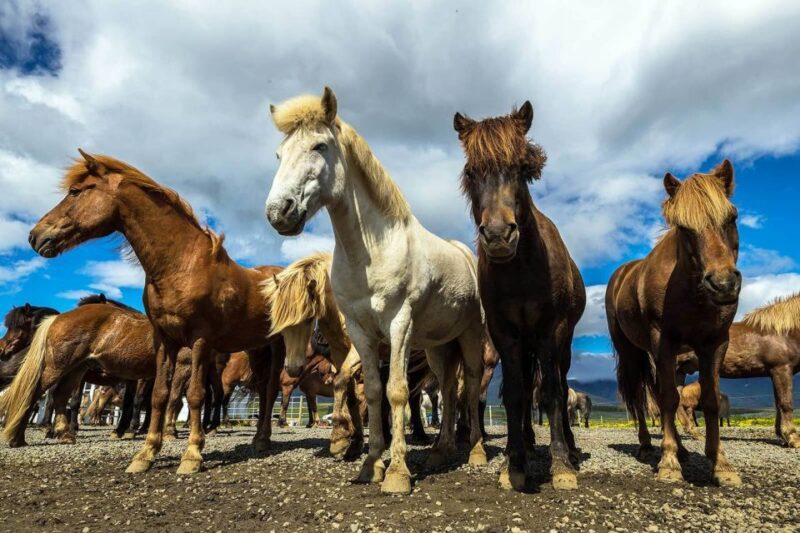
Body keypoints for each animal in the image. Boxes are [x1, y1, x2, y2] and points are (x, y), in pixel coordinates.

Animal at [29, 151, 285, 474]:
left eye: (75, 192)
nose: (35, 235)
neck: (180, 265)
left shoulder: (200, 341)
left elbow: (195, 395)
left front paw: (192, 455)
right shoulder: (165, 341)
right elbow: (159, 396)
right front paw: (145, 454)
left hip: (276, 348)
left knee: (271, 389)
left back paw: (263, 439)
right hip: (256, 348)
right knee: (263, 391)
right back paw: (258, 439)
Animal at [266, 89, 487, 494]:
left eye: (320, 146)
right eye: (279, 153)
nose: (279, 212)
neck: (371, 251)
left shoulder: (399, 325)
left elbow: (395, 392)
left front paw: (397, 472)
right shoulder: (360, 332)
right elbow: (369, 393)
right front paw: (370, 464)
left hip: (470, 336)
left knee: (471, 383)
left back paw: (476, 451)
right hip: (437, 346)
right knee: (449, 388)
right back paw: (440, 451)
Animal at [453, 101, 585, 490]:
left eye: (522, 169)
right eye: (472, 172)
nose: (498, 235)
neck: (522, 270)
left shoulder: (551, 330)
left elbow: (553, 393)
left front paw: (561, 464)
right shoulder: (505, 334)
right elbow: (515, 395)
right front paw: (514, 463)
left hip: (560, 343)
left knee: (560, 383)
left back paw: (570, 446)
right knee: (527, 390)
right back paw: (525, 441)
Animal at [607, 159, 742, 486]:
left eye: (732, 217)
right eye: (684, 228)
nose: (723, 284)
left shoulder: (715, 343)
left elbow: (709, 399)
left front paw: (720, 463)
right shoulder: (663, 341)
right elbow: (667, 398)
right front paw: (668, 463)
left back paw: (681, 449)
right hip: (631, 351)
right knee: (641, 395)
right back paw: (648, 446)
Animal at [676, 292, 800, 447]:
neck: (783, 333)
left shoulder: (775, 373)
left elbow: (778, 404)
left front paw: (782, 436)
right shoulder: (781, 369)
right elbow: (786, 403)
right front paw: (793, 437)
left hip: (680, 371)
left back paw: (694, 433)